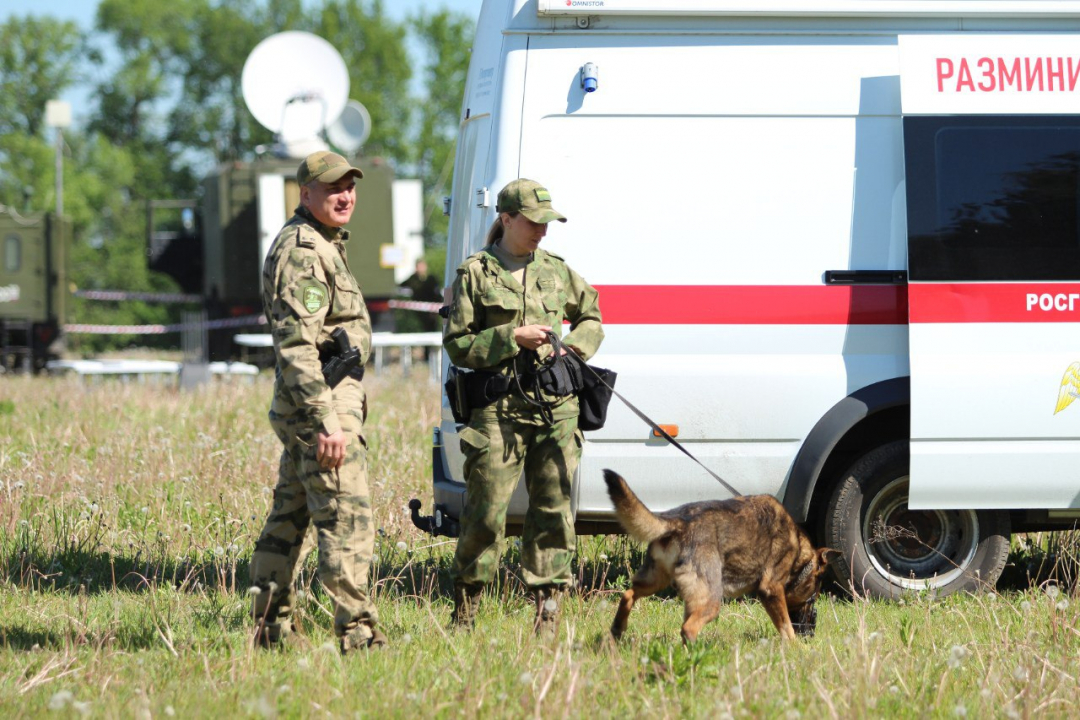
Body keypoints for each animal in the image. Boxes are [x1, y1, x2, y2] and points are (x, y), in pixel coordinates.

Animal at [604, 470, 829, 643]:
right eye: (812, 598)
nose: (812, 633)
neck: (799, 549)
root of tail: (679, 522)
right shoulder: (771, 590)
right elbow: (787, 627)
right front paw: (798, 649)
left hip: (656, 581)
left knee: (628, 595)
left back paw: (617, 629)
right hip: (711, 599)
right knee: (688, 628)